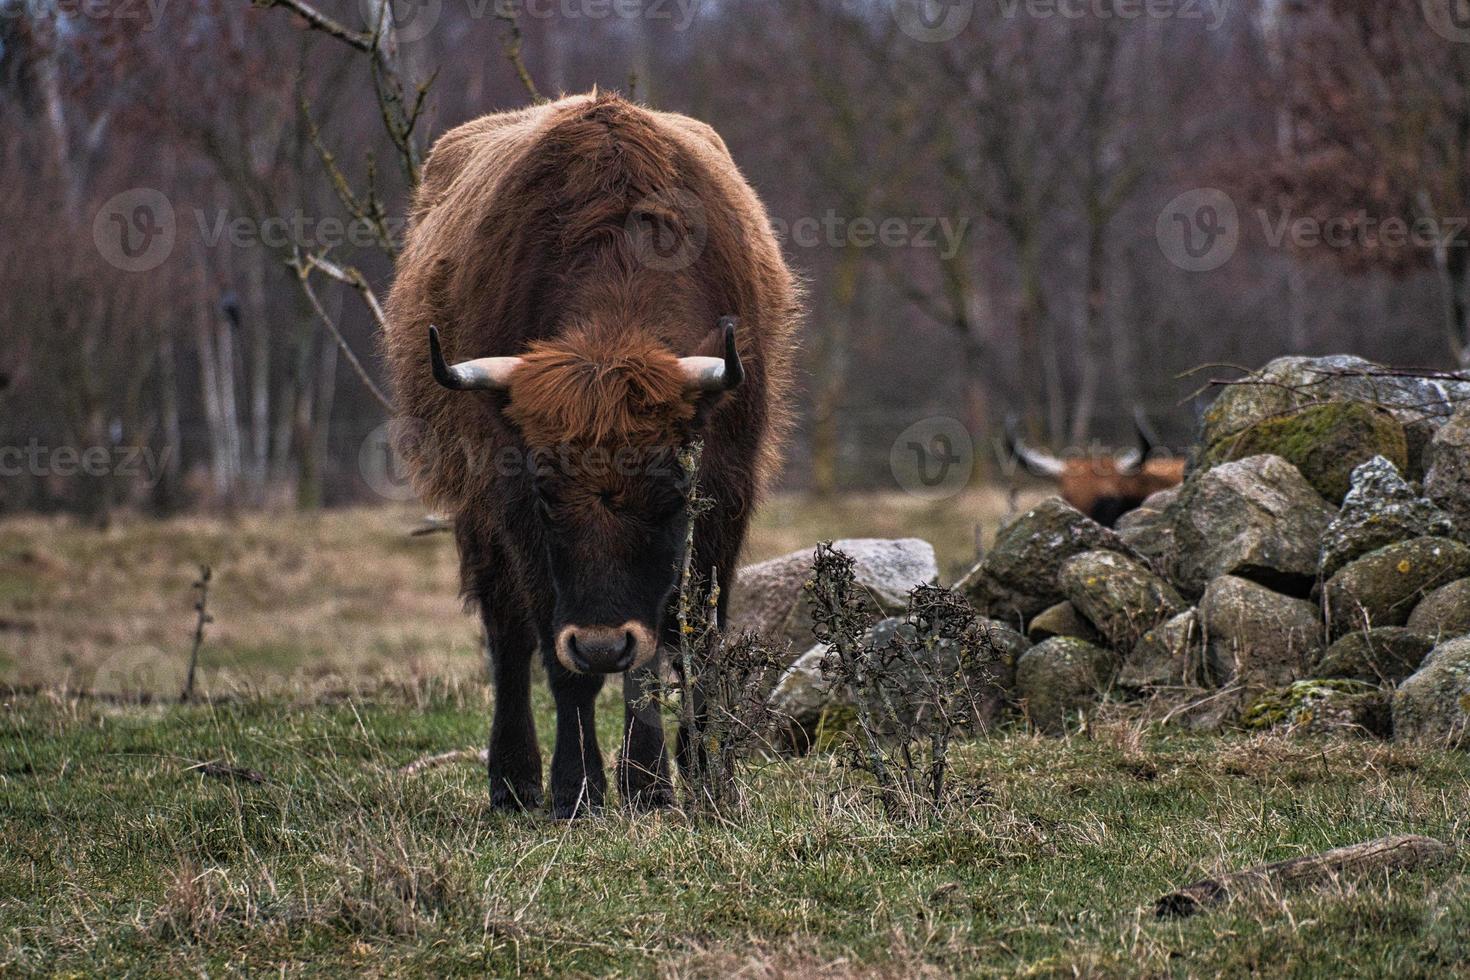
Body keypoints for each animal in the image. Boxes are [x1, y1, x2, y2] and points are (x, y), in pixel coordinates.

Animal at [379, 94, 793, 822]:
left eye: (671, 493)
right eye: (546, 493)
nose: (601, 643)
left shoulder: (724, 501)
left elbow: (686, 642)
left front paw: (685, 777)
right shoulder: (512, 511)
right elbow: (555, 655)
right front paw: (577, 788)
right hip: (477, 520)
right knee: (508, 634)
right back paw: (514, 780)